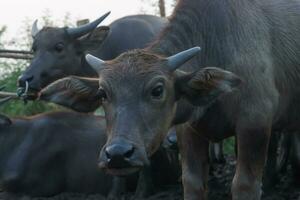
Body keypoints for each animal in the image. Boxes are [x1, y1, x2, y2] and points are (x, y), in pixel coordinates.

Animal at [38, 0, 300, 199]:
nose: (118, 154)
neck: (218, 41)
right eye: (103, 93)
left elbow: (245, 185)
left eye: (157, 90)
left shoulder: (254, 123)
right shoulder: (189, 131)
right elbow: (192, 182)